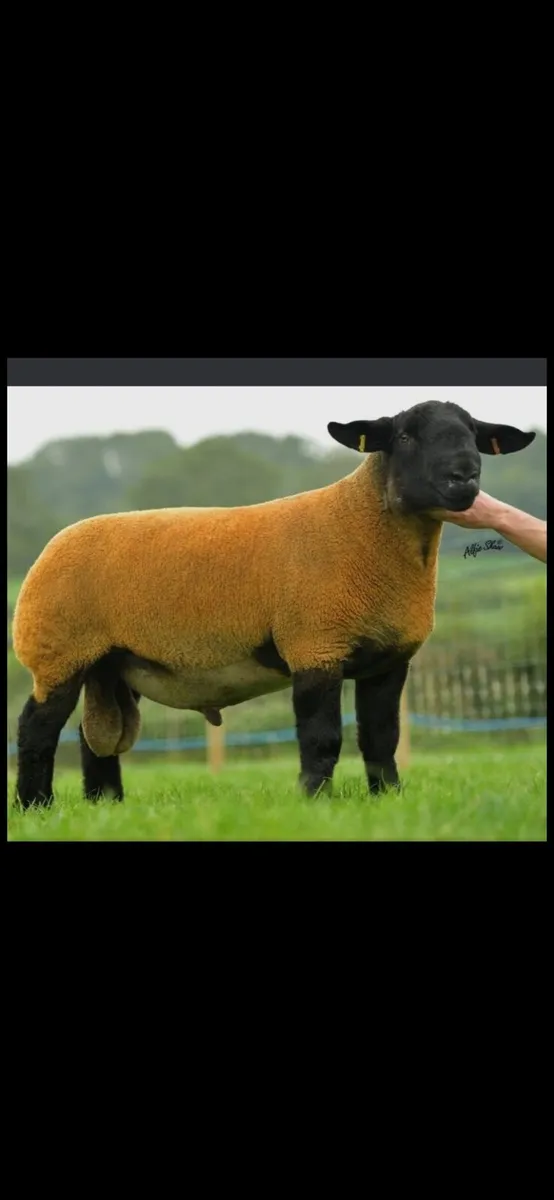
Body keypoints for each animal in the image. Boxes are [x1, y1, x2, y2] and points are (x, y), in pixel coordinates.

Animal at [12, 400, 535, 809]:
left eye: (473, 435)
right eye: (405, 436)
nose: (464, 477)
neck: (363, 528)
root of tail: (55, 543)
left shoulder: (386, 661)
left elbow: (381, 738)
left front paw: (387, 797)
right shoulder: (315, 644)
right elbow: (322, 737)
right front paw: (313, 801)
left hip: (112, 664)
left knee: (94, 740)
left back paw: (108, 805)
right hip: (57, 652)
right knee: (36, 729)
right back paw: (36, 806)